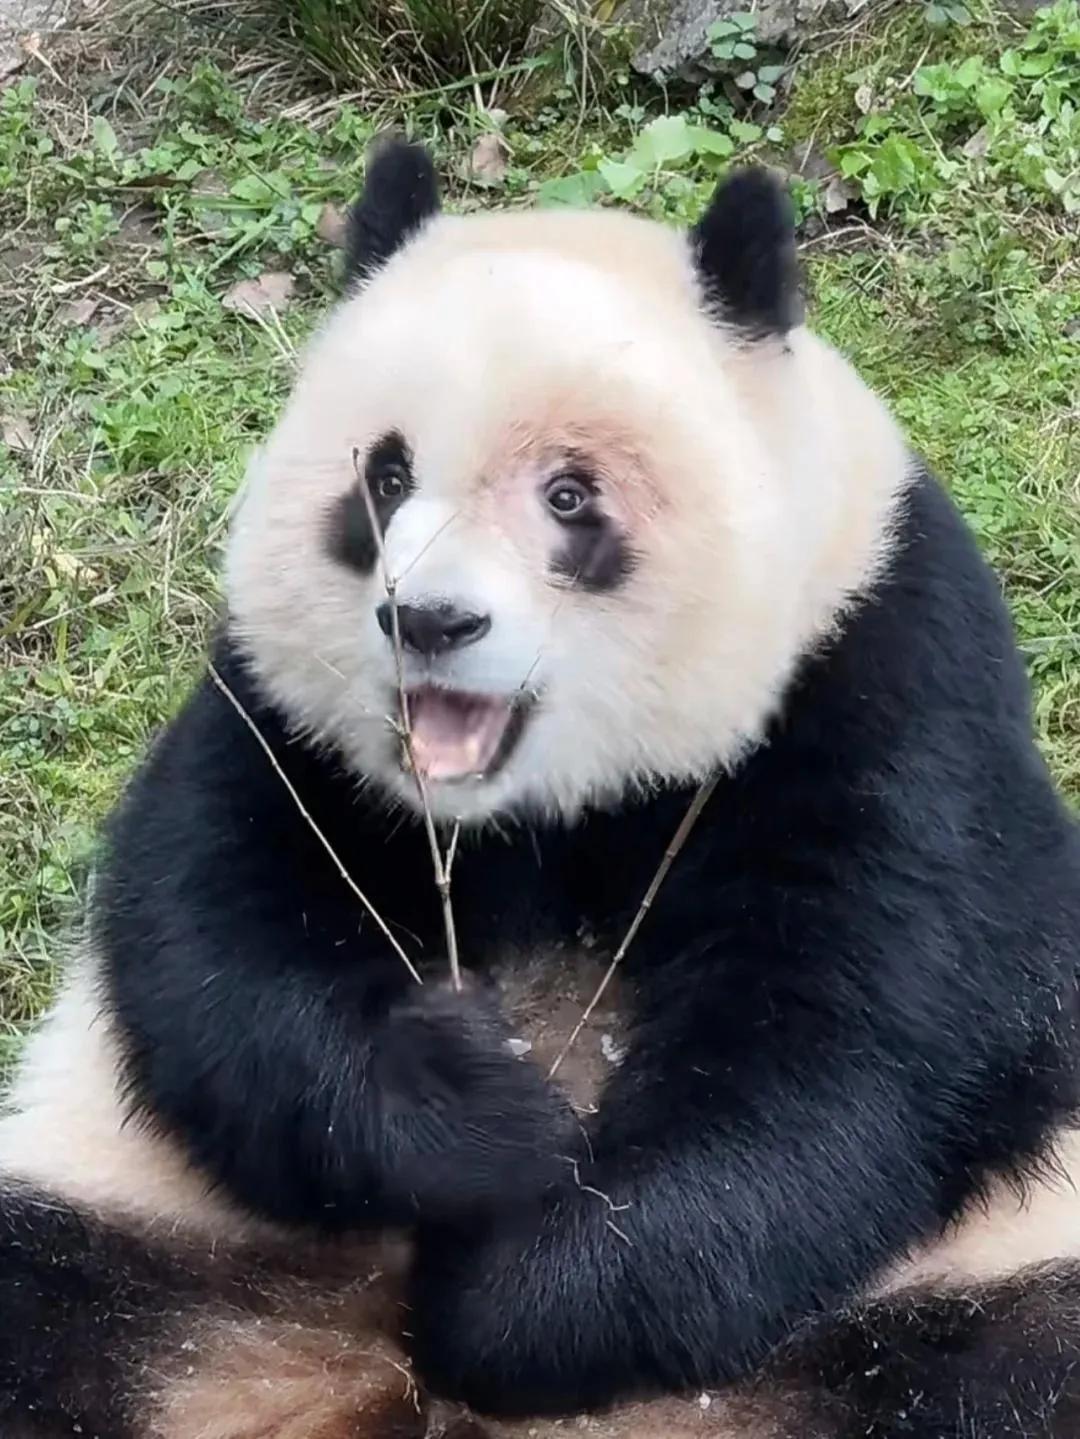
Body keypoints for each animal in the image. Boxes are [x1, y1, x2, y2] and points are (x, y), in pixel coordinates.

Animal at [2, 137, 1080, 1439]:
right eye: (387, 475)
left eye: (570, 497)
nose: (428, 619)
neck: (546, 816)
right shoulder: (282, 722)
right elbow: (213, 932)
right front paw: (487, 1117)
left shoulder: (881, 669)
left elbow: (858, 1039)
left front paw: (509, 1301)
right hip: (150, 1241)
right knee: (50, 1298)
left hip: (956, 1290)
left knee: (1007, 1365)